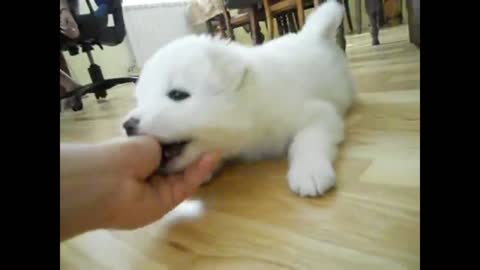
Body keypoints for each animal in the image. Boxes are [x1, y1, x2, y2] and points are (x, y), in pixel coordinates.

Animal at [123, 1, 356, 197]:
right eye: (140, 100)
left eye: (177, 95)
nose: (127, 125)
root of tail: (313, 36)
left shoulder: (319, 114)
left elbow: (308, 140)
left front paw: (310, 172)